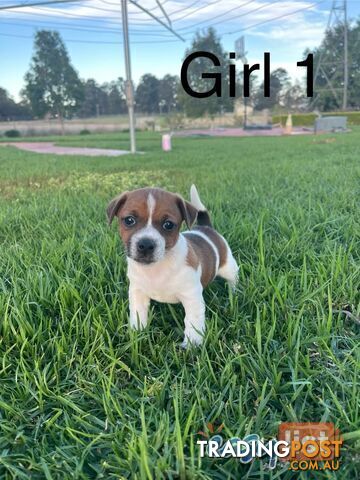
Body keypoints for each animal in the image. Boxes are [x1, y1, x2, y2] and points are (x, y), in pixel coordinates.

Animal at [105, 186, 238, 346]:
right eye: (129, 220)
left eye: (168, 224)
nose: (146, 245)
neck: (156, 268)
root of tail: (206, 228)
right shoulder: (138, 292)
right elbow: (138, 313)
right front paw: (137, 333)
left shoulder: (192, 297)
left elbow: (192, 321)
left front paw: (192, 344)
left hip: (228, 266)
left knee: (233, 279)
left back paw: (233, 293)